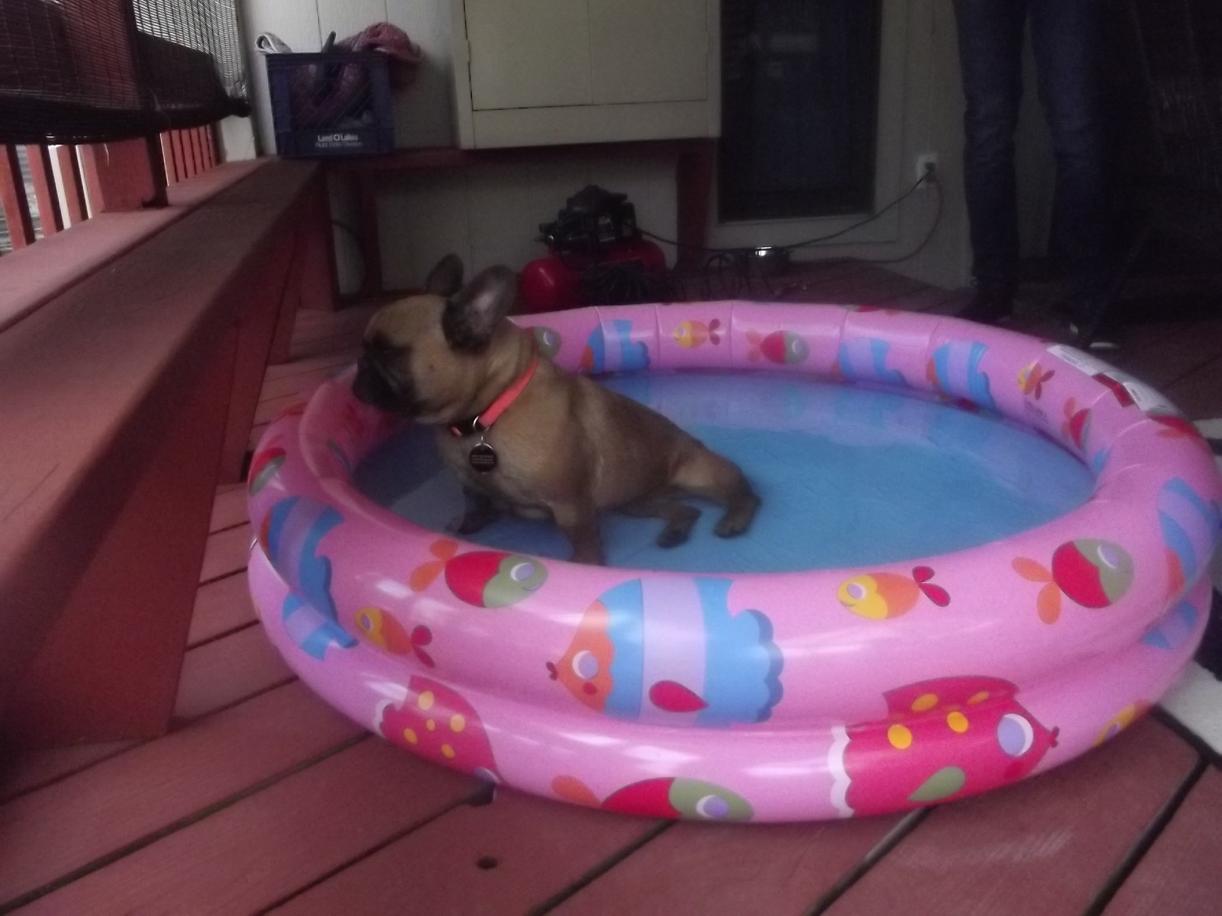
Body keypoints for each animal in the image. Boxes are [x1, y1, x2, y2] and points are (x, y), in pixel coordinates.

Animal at [349, 255, 757, 564]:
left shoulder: (571, 505)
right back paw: (674, 531)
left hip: (701, 474)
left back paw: (735, 519)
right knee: (685, 510)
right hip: (636, 502)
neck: (483, 415)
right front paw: (466, 529)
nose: (359, 369)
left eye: (389, 353)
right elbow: (475, 506)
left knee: (742, 491)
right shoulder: (470, 485)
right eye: (367, 349)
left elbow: (583, 539)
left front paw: (586, 566)